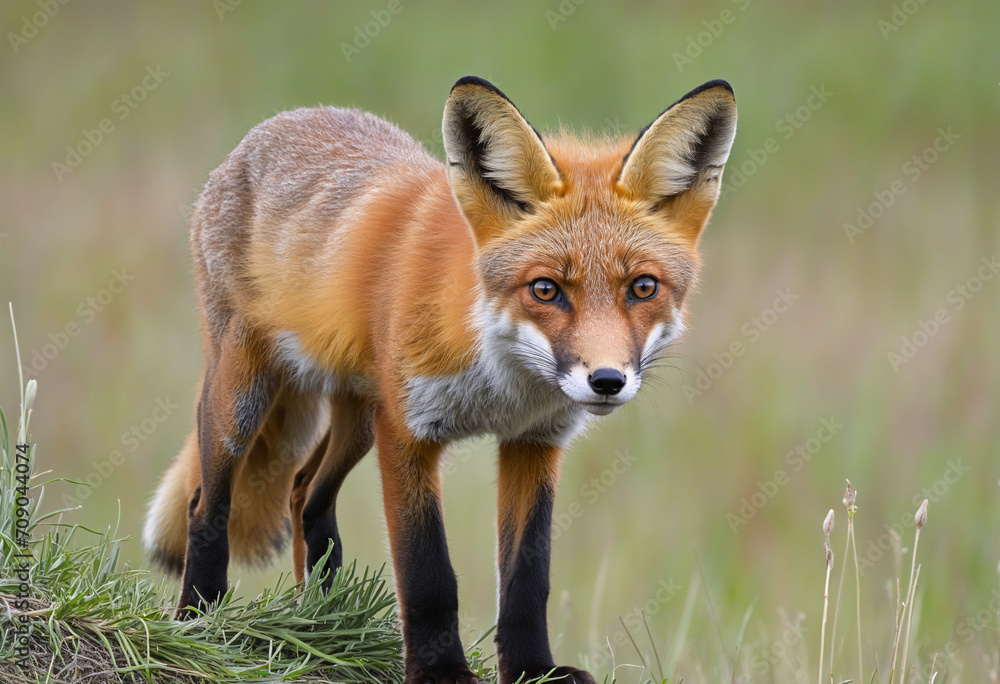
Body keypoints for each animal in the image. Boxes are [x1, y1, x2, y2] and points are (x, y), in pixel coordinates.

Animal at [143, 76, 737, 684]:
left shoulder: (533, 442)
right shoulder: (408, 432)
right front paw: (440, 671)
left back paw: (320, 617)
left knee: (306, 492)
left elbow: (528, 578)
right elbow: (427, 572)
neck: (502, 386)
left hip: (361, 418)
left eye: (643, 287)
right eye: (545, 290)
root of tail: (284, 119)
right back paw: (200, 616)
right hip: (245, 396)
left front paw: (532, 669)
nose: (608, 380)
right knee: (206, 503)